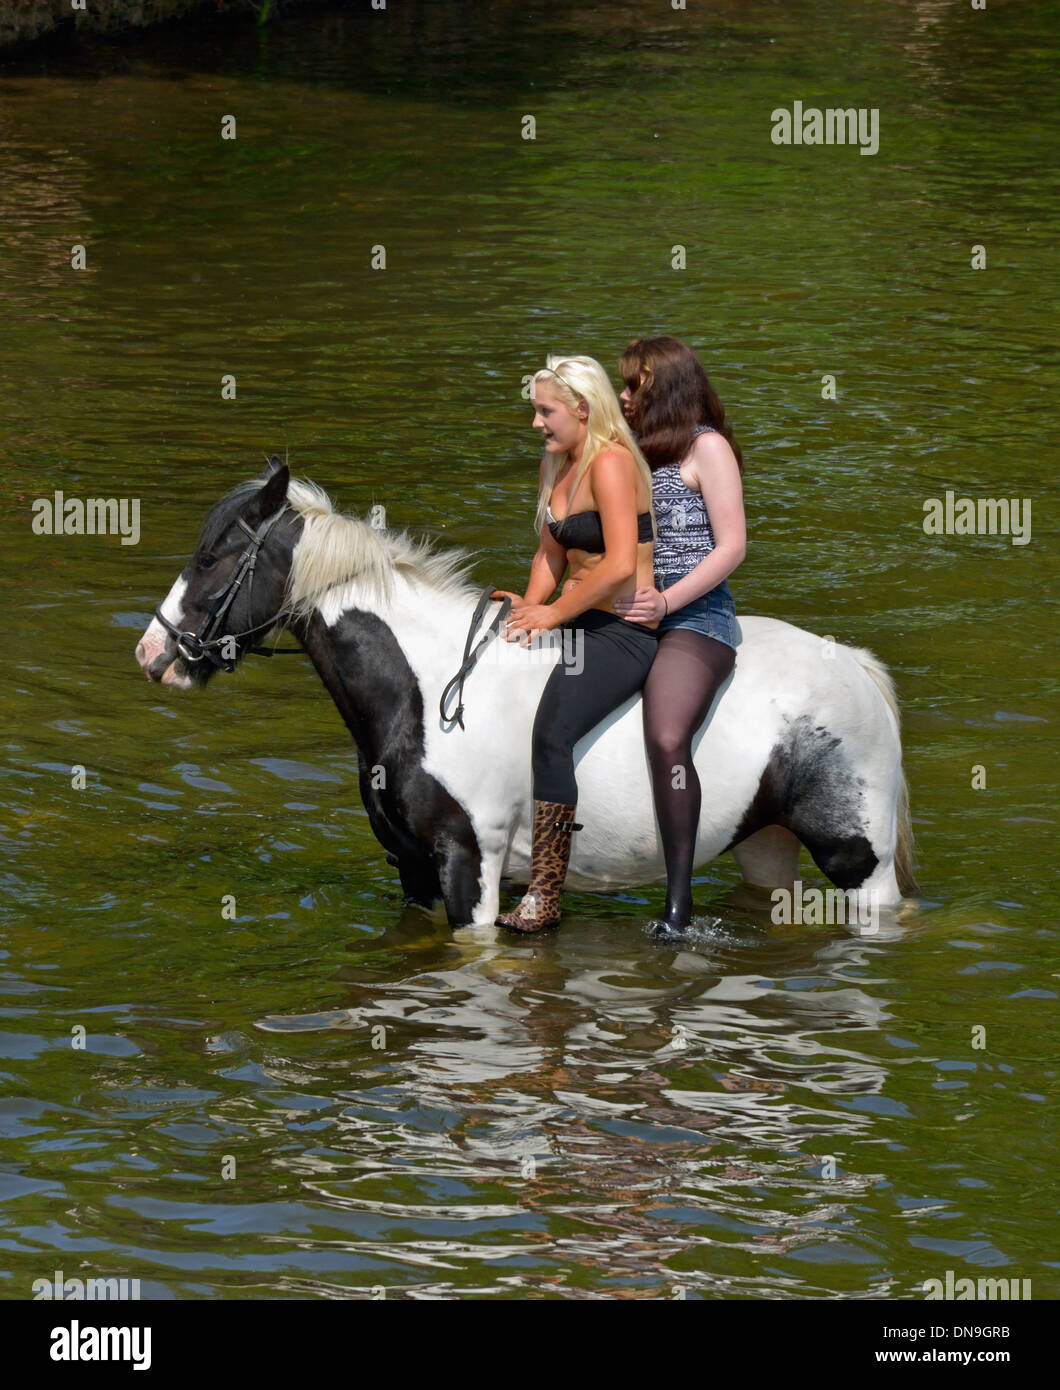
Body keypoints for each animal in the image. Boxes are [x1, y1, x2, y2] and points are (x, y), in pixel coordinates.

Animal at [134, 460, 917, 928]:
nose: (153, 653)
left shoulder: (469, 868)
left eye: (212, 557)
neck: (424, 691)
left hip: (859, 865)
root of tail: (854, 666)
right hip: (766, 846)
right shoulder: (412, 871)